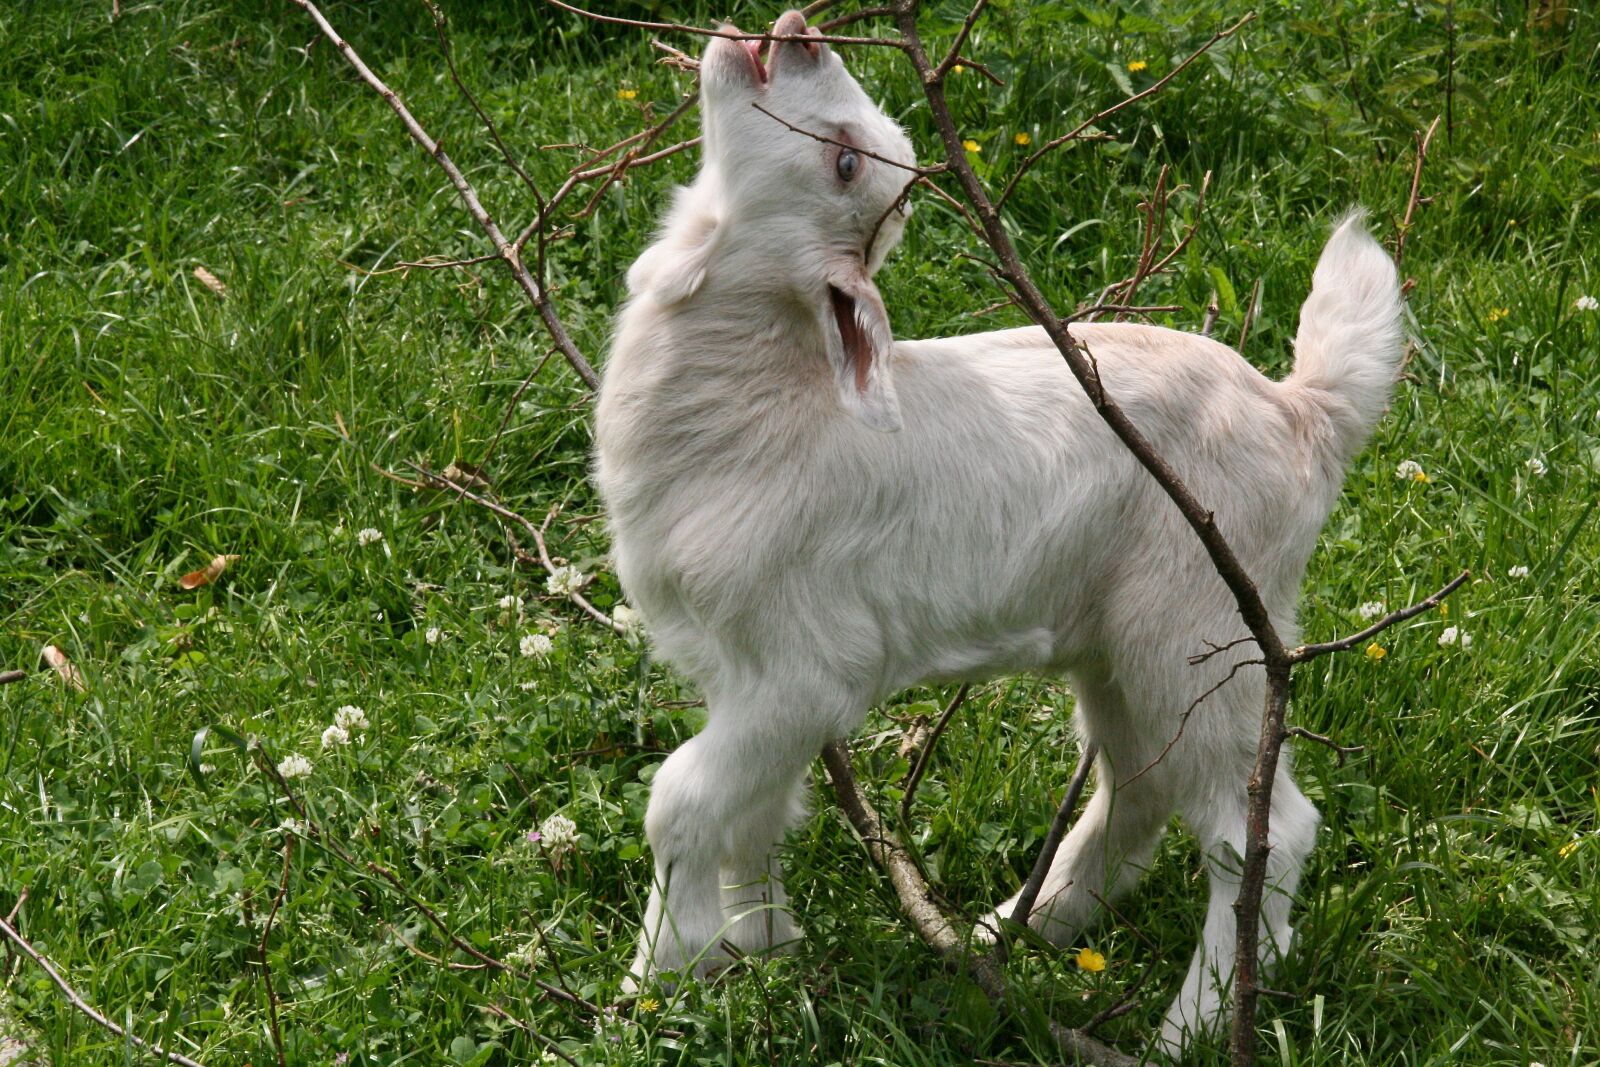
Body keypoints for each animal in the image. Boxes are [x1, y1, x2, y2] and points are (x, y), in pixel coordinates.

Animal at [594, 9, 1403, 1054]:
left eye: (846, 163)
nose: (800, 32)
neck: (766, 402)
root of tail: (1302, 413)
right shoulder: (745, 675)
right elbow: (756, 812)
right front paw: (756, 944)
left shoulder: (806, 665)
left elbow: (682, 798)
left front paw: (658, 975)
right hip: (1121, 644)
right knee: (1137, 790)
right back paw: (1013, 930)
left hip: (1203, 628)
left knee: (1258, 830)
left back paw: (1189, 1023)